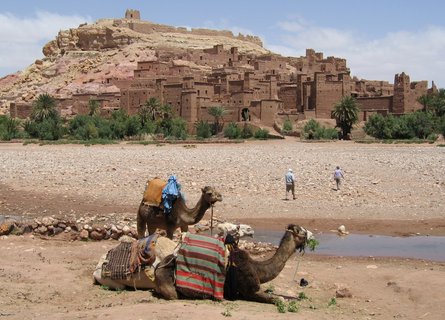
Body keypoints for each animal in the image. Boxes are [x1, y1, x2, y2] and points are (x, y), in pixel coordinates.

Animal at [155, 222, 312, 302]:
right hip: (169, 286)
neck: (257, 269)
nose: (311, 235)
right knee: (174, 295)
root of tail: (158, 268)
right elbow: (278, 299)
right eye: (301, 231)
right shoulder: (250, 290)